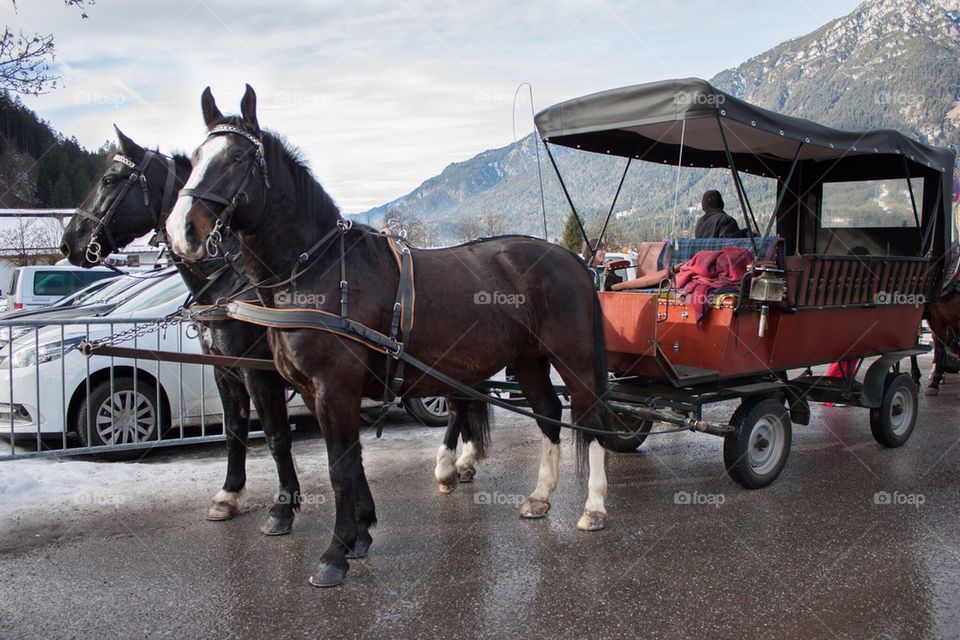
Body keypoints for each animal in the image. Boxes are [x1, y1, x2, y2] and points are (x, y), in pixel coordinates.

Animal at [60, 128, 302, 536]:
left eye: (109, 180)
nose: (70, 242)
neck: (232, 281)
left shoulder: (258, 373)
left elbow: (275, 435)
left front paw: (284, 506)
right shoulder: (224, 371)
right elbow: (233, 430)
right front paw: (229, 494)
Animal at [164, 85, 613, 588]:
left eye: (238, 156)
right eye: (196, 158)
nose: (182, 229)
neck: (319, 269)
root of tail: (572, 259)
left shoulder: (331, 387)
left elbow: (339, 467)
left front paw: (335, 553)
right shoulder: (313, 389)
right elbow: (347, 459)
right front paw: (359, 534)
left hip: (572, 357)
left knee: (592, 417)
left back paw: (594, 506)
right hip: (527, 359)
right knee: (549, 414)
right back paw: (539, 496)